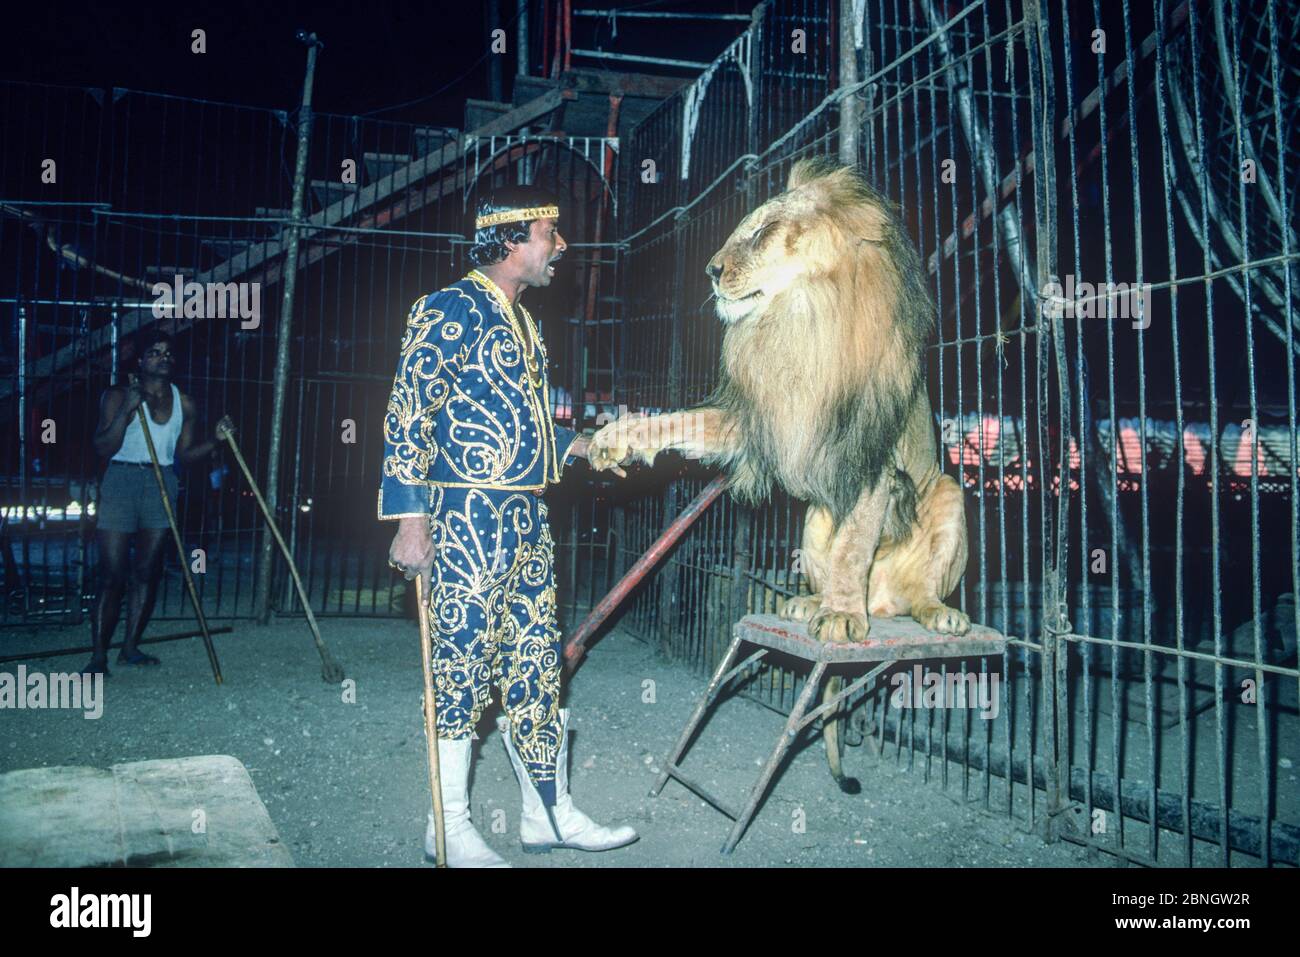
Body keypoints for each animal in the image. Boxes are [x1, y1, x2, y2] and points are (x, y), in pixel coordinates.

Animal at [587, 158, 967, 790]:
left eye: (762, 233)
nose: (712, 271)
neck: (799, 321)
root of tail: (885, 601)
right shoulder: (763, 416)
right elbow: (681, 422)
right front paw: (617, 438)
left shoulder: (872, 456)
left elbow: (855, 545)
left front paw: (842, 614)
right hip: (813, 519)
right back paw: (806, 605)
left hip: (949, 495)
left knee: (918, 591)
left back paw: (932, 614)